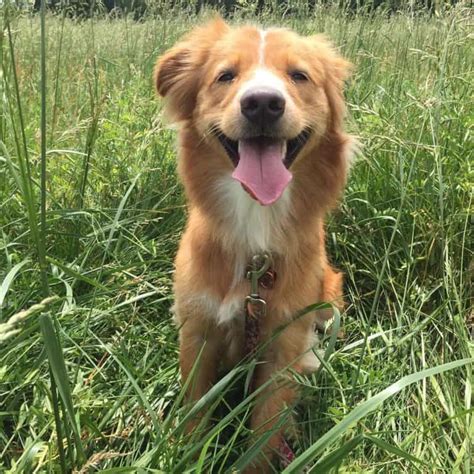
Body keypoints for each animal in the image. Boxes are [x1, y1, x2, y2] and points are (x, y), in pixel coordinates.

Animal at [154, 16, 354, 472]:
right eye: (226, 76)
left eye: (299, 76)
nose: (262, 103)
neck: (255, 223)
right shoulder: (198, 329)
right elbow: (196, 407)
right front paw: (191, 455)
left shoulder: (284, 342)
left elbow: (265, 426)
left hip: (329, 293)